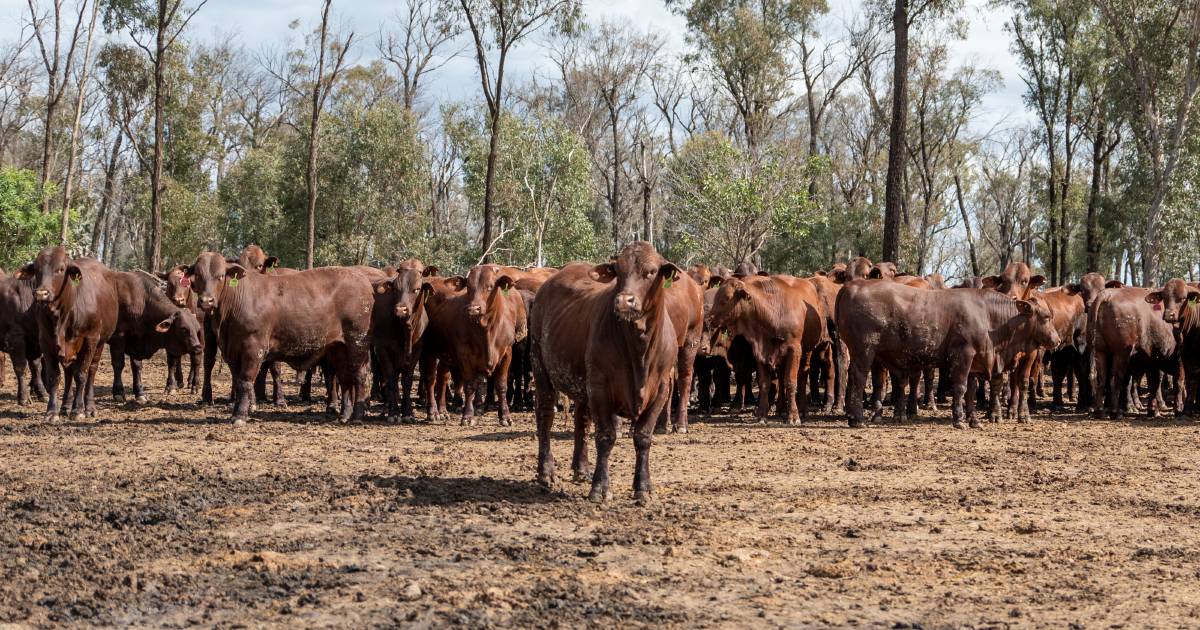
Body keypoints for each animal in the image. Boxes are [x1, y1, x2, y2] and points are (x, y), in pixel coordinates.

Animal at [705, 273, 830, 422]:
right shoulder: (760, 351)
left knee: (802, 375)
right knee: (781, 377)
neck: (773, 311)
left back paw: (803, 409)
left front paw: (793, 416)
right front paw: (762, 414)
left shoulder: (794, 350)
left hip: (807, 351)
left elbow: (790, 381)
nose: (709, 319)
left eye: (726, 298)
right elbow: (765, 383)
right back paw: (781, 408)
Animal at [835, 282, 1060, 429]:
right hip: (864, 351)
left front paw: (974, 420)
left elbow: (971, 391)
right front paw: (959, 419)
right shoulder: (963, 355)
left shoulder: (975, 362)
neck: (988, 317)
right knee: (858, 379)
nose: (1057, 340)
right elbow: (960, 388)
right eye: (1046, 317)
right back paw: (857, 419)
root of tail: (851, 286)